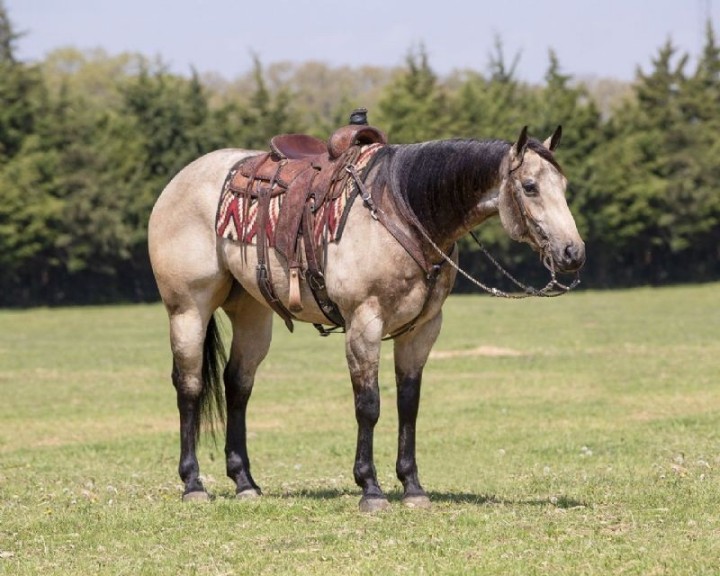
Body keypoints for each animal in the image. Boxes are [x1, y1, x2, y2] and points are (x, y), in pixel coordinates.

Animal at [148, 124, 585, 512]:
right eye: (529, 186)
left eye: (563, 187)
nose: (573, 253)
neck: (403, 212)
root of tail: (179, 181)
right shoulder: (364, 322)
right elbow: (369, 404)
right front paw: (370, 488)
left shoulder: (422, 330)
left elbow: (409, 403)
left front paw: (412, 488)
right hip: (188, 310)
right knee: (189, 386)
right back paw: (193, 484)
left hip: (252, 313)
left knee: (237, 385)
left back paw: (245, 483)